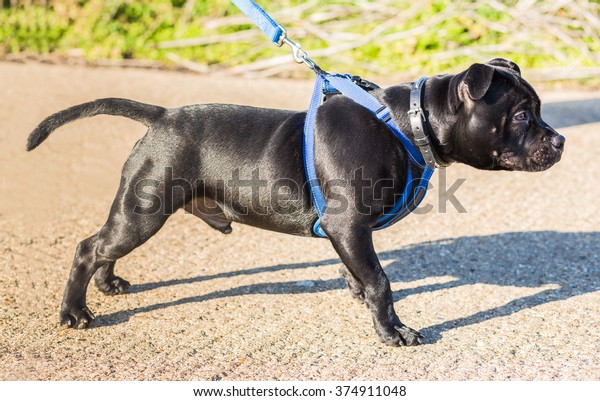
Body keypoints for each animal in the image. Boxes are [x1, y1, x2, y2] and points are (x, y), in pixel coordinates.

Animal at [27, 58, 564, 344]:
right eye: (522, 116)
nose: (560, 141)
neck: (409, 125)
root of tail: (160, 117)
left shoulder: (347, 232)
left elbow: (361, 272)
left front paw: (357, 293)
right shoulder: (350, 225)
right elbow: (382, 280)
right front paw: (392, 332)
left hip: (139, 211)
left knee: (105, 246)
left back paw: (108, 285)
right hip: (144, 210)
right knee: (89, 247)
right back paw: (74, 312)